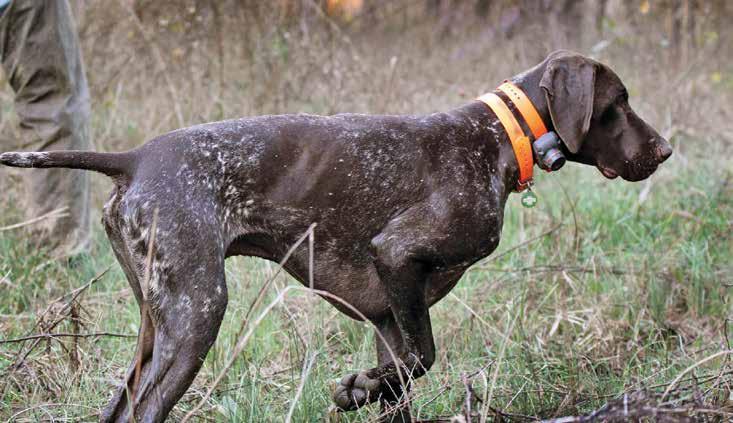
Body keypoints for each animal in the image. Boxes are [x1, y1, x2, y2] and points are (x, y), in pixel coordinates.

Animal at [0, 51, 668, 422]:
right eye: (618, 102)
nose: (664, 149)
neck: (497, 139)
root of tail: (134, 158)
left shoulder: (390, 312)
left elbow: (403, 380)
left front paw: (364, 390)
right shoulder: (397, 258)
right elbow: (422, 360)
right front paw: (356, 388)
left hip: (156, 322)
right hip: (196, 313)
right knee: (146, 410)